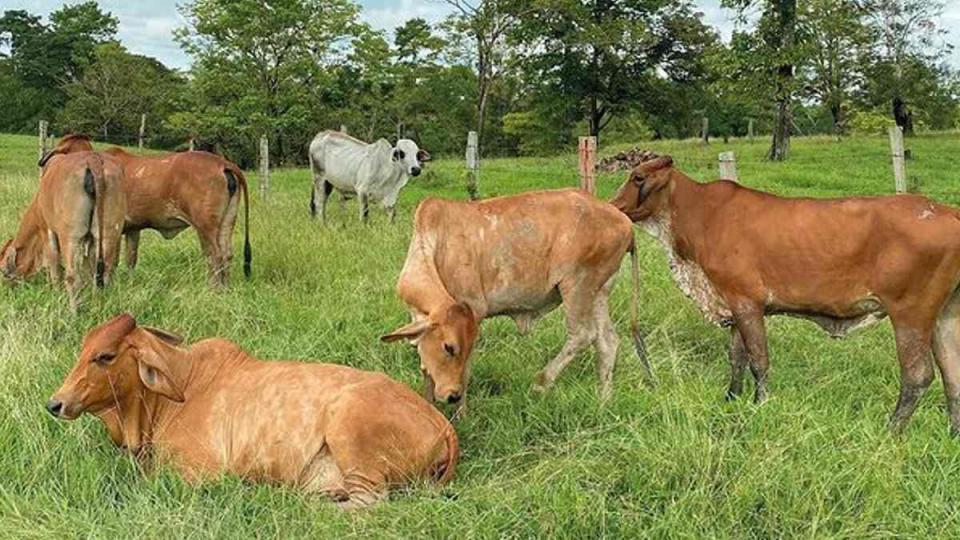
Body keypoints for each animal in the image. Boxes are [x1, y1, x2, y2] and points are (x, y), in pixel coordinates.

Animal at [2, 150, 125, 310]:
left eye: (3, 270)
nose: (5, 289)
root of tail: (93, 159)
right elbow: (88, 269)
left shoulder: (47, 231)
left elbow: (55, 267)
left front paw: (56, 294)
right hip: (109, 234)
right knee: (105, 273)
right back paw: (98, 304)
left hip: (69, 237)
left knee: (72, 276)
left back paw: (73, 310)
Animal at [39, 135, 253, 284]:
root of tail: (223, 163)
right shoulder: (133, 229)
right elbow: (130, 260)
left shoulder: (115, 229)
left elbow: (112, 262)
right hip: (226, 223)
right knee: (227, 255)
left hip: (206, 226)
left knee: (214, 256)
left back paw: (214, 289)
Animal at [47, 314, 460, 508]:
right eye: (83, 349)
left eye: (105, 356)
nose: (56, 403)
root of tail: (442, 423)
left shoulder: (195, 474)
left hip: (353, 439)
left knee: (368, 503)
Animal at [378, 188, 648, 416]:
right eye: (448, 347)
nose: (452, 396)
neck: (434, 242)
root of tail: (624, 221)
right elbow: (426, 367)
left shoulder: (475, 311)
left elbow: (465, 371)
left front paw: (461, 415)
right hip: (599, 291)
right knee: (607, 341)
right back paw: (604, 400)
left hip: (578, 285)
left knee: (583, 335)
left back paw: (541, 382)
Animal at [612, 154, 960, 436]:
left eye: (637, 177)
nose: (613, 208)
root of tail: (946, 211)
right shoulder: (733, 303)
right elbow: (737, 358)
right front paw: (731, 398)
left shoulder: (746, 301)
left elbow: (758, 361)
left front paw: (759, 404)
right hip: (944, 315)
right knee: (952, 373)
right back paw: (952, 434)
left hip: (912, 313)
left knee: (918, 375)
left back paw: (892, 431)